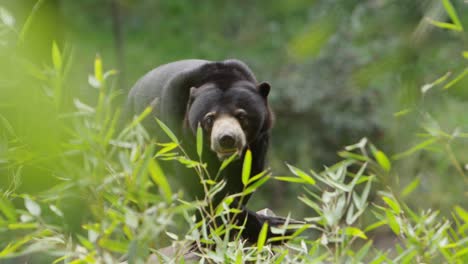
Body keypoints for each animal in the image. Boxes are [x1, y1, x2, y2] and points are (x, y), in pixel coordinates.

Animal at [125, 58, 286, 242]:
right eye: (209, 118)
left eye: (241, 115)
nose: (227, 139)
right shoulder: (178, 126)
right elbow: (197, 176)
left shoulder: (258, 140)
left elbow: (246, 176)